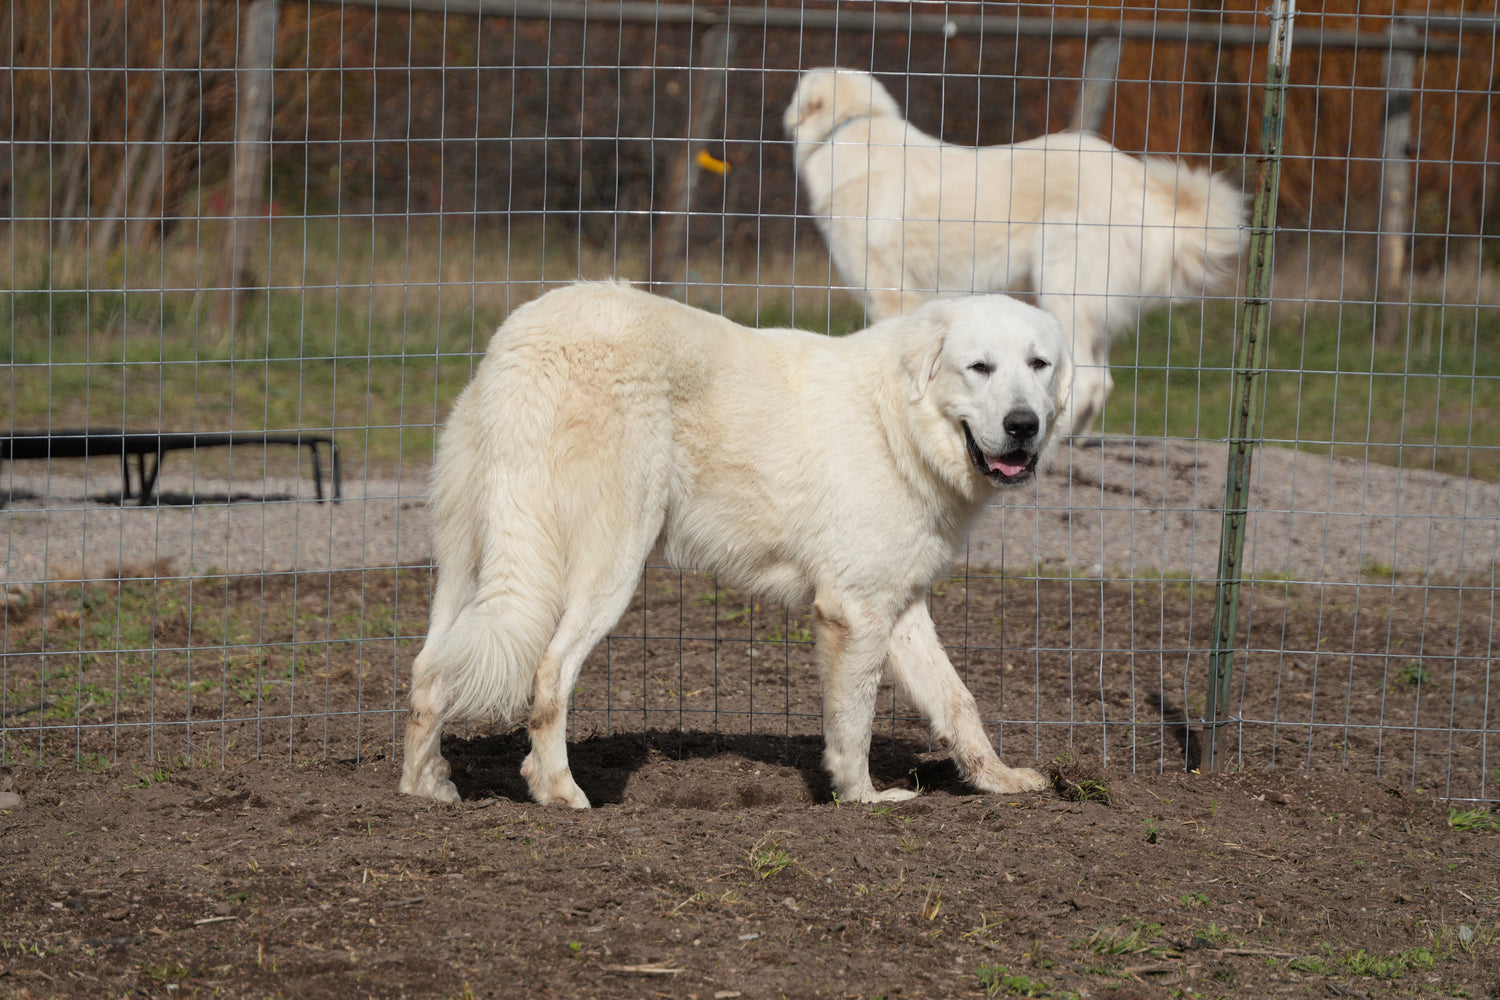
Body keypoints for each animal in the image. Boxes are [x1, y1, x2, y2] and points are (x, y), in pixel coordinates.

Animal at [399, 282, 1071, 808]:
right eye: (979, 368)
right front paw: (862, 799)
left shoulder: (898, 608)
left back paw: (424, 786)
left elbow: (959, 703)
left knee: (428, 670)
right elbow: (853, 723)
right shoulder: (853, 613)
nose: (1023, 425)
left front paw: (999, 780)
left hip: (463, 566)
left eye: (1039, 364)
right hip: (609, 564)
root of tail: (523, 346)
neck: (899, 421)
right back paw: (560, 792)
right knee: (548, 673)